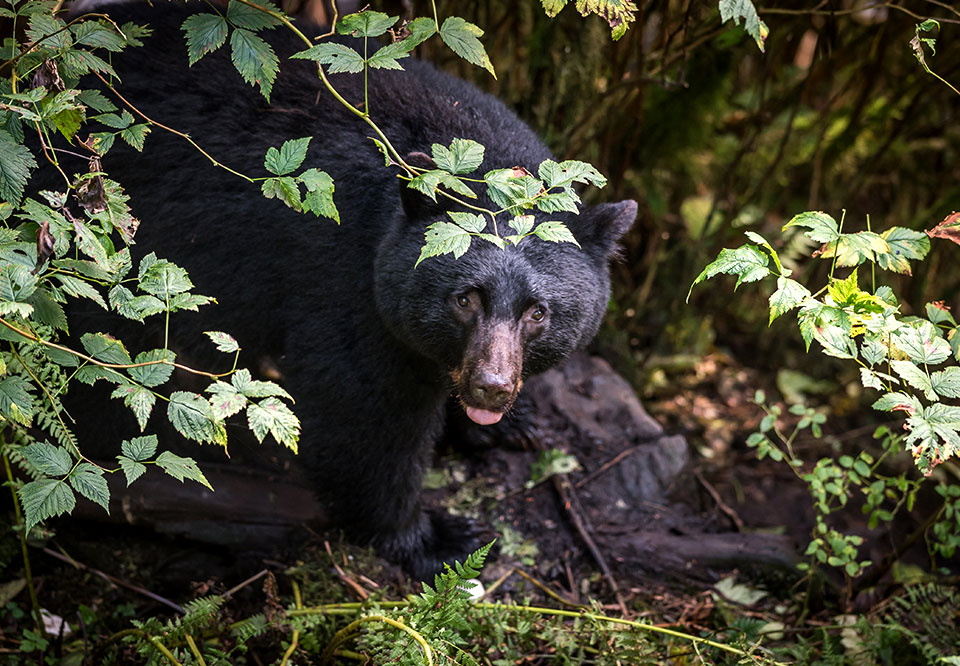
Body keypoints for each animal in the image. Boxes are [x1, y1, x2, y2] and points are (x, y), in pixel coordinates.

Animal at [71, 3, 632, 576]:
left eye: (537, 312)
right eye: (465, 299)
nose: (491, 388)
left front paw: (507, 424)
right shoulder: (344, 279)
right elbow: (363, 411)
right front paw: (432, 537)